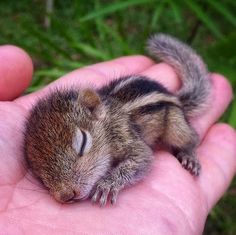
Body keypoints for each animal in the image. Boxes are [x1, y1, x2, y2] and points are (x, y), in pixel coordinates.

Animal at [24, 33, 211, 206]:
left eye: (83, 143)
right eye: (37, 171)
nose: (66, 195)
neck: (108, 122)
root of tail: (175, 97)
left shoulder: (125, 135)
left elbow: (142, 159)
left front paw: (107, 184)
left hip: (176, 124)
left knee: (191, 138)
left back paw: (189, 155)